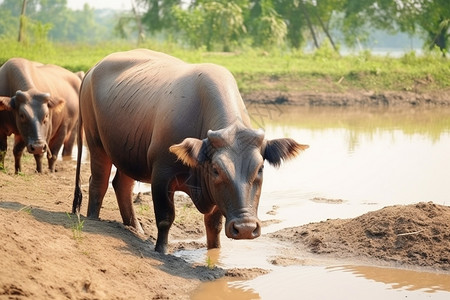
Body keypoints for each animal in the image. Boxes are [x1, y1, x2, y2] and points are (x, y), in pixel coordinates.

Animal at [73, 49, 310, 253]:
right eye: (216, 169)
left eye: (260, 169)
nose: (244, 228)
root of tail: (92, 70)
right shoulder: (161, 176)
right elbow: (165, 218)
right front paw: (161, 251)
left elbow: (213, 225)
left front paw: (214, 252)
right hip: (95, 142)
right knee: (98, 182)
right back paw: (93, 218)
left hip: (129, 151)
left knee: (121, 184)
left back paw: (135, 229)